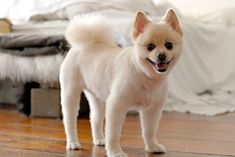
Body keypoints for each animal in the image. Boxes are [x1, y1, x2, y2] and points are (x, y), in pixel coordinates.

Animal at [59, 8, 183, 157]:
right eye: (150, 46)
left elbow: (149, 131)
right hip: (70, 93)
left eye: (169, 45)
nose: (161, 55)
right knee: (69, 121)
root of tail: (84, 44)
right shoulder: (117, 105)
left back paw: (99, 140)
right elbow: (113, 132)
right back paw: (72, 143)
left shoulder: (152, 110)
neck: (145, 75)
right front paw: (115, 151)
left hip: (97, 97)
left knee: (95, 118)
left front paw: (152, 146)